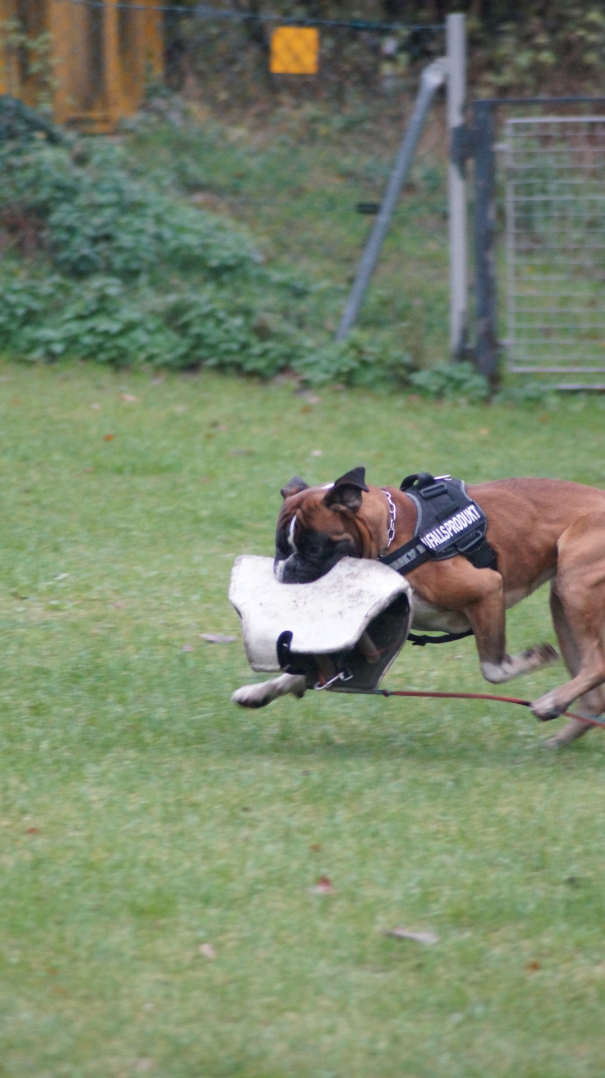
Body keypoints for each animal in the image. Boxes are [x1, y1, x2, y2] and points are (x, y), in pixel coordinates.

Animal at [232, 467, 605, 746]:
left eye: (315, 548)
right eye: (280, 547)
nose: (286, 570)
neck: (390, 535)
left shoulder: (487, 590)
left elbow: (494, 668)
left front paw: (531, 660)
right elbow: (312, 670)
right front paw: (262, 690)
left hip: (573, 585)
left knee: (596, 665)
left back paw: (552, 703)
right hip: (562, 603)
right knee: (594, 697)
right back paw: (560, 735)